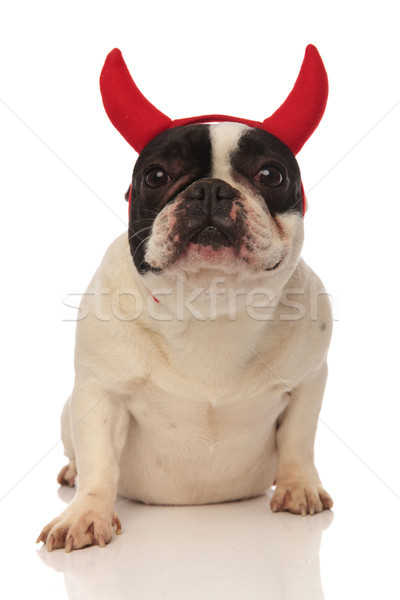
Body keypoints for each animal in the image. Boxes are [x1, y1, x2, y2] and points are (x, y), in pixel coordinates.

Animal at [37, 47, 332, 552]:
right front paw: (86, 513)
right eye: (156, 175)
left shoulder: (309, 380)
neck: (209, 304)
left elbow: (298, 439)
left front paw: (299, 486)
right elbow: (99, 457)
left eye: (270, 174)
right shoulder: (99, 391)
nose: (210, 188)